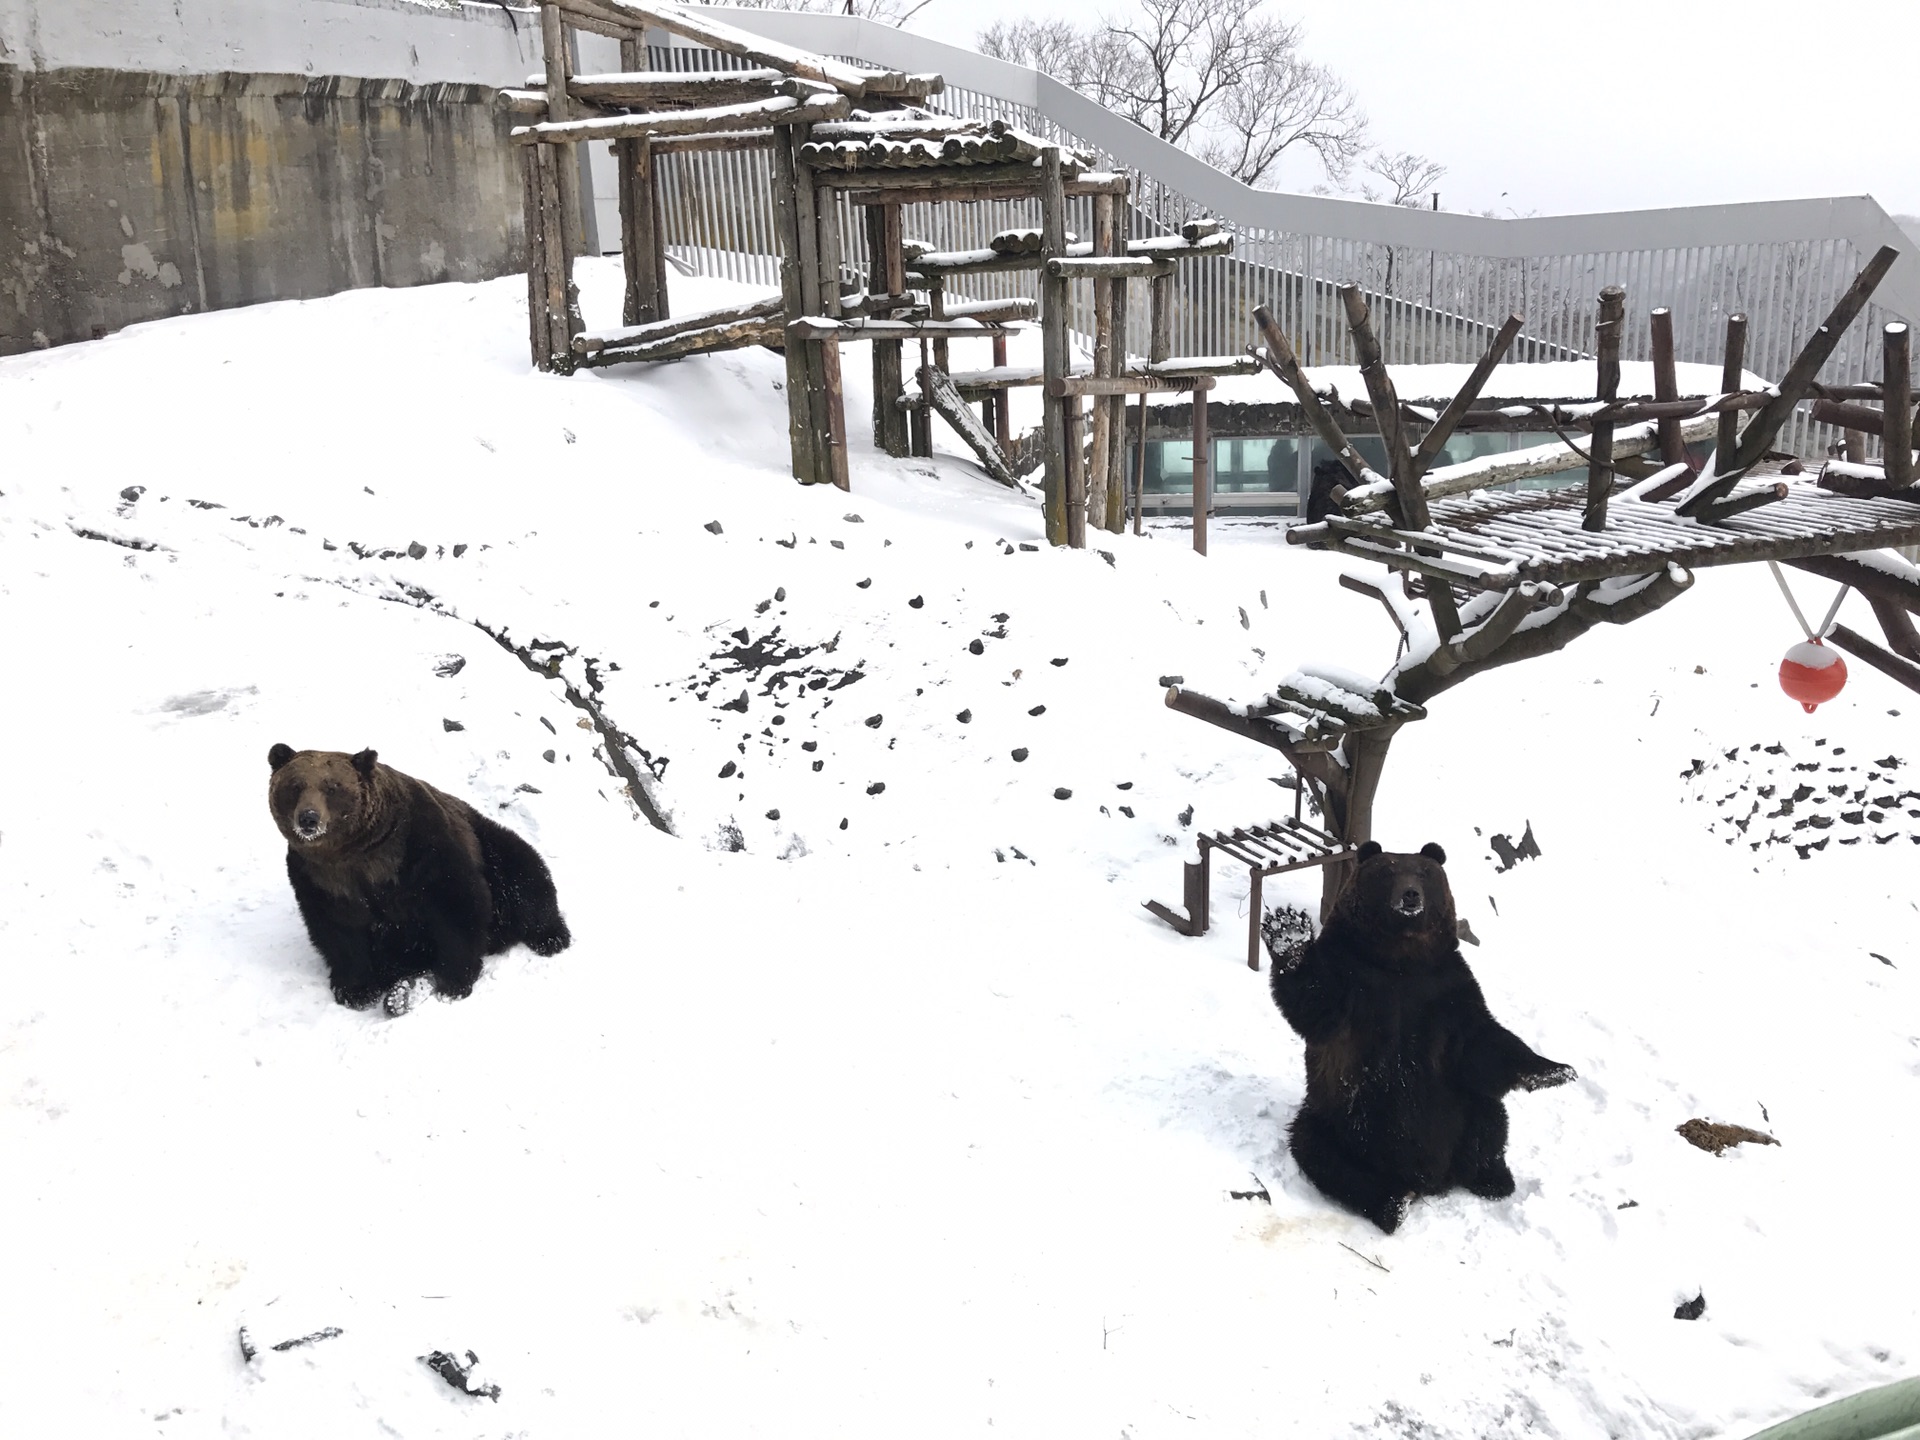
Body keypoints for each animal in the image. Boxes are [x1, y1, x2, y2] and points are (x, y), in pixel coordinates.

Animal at [268, 744, 568, 1013]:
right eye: (295, 786)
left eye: (332, 787)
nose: (309, 818)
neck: (358, 854)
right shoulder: (321, 880)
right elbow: (338, 933)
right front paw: (356, 990)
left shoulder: (420, 848)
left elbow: (458, 906)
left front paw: (454, 981)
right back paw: (401, 994)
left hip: (490, 847)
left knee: (524, 877)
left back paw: (552, 937)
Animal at [1259, 840, 1574, 1236]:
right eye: (1388, 870)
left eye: (1424, 872)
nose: (1410, 895)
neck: (1400, 959)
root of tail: (1428, 1179)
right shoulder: (1353, 979)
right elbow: (1316, 1007)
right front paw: (1288, 932)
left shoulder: (1446, 989)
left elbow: (1482, 1041)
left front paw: (1555, 1071)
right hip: (1340, 1125)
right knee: (1322, 1155)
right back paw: (1391, 1205)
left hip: (1462, 1110)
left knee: (1489, 1121)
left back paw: (1493, 1179)